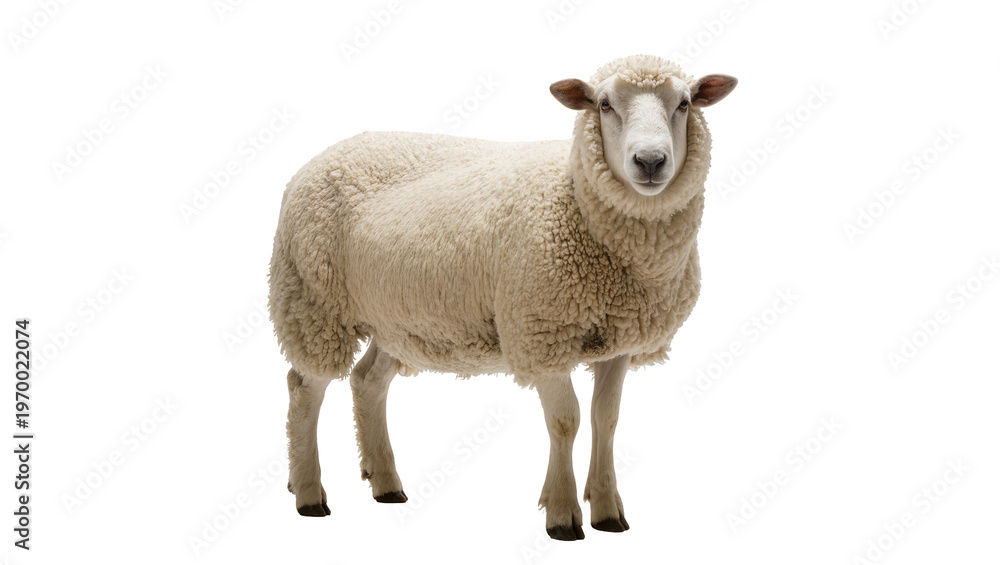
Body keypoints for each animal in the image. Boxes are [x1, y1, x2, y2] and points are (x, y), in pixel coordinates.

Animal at [269, 54, 737, 540]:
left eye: (684, 103)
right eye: (604, 104)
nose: (649, 161)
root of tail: (320, 157)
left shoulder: (620, 340)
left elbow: (605, 419)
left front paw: (607, 510)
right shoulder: (540, 334)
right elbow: (565, 421)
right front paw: (563, 514)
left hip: (398, 319)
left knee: (367, 381)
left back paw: (385, 483)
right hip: (313, 303)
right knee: (304, 388)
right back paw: (309, 493)